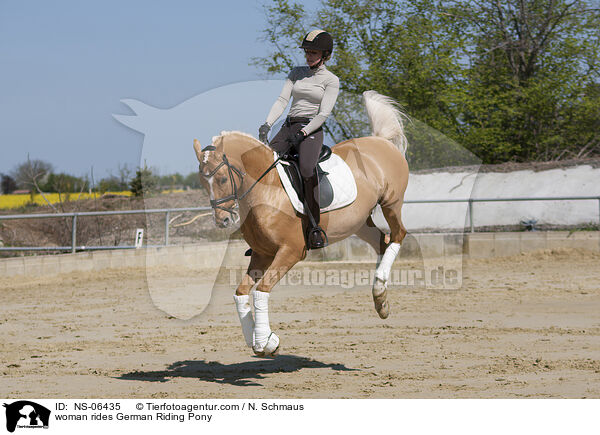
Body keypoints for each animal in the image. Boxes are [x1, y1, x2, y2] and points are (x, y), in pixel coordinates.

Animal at [195, 91, 410, 358]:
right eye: (202, 182)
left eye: (223, 179)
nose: (222, 220)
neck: (267, 189)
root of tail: (381, 142)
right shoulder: (262, 254)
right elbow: (241, 293)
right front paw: (259, 339)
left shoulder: (291, 251)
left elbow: (261, 291)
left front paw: (265, 342)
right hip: (359, 222)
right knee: (382, 241)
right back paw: (380, 299)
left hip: (391, 203)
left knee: (398, 234)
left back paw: (380, 289)